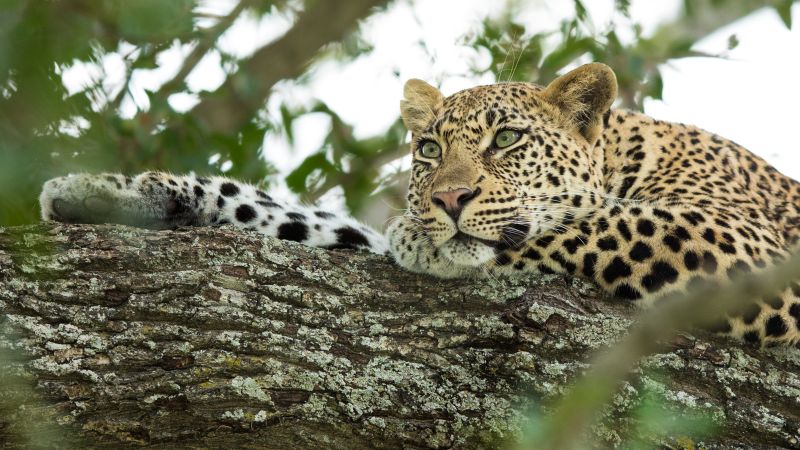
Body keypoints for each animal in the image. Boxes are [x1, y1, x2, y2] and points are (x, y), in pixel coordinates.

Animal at [39, 63, 800, 346]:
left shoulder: (744, 244)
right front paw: (113, 194)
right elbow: (305, 221)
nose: (449, 197)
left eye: (507, 138)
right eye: (430, 148)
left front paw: (419, 237)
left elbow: (585, 222)